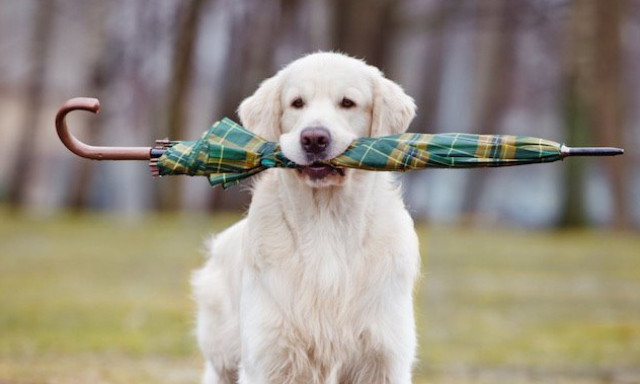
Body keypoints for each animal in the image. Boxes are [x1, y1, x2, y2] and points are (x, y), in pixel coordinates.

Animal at [190, 51, 420, 384]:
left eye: (348, 102)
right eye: (297, 103)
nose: (313, 138)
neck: (326, 220)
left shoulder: (384, 359)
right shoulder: (268, 357)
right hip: (222, 356)